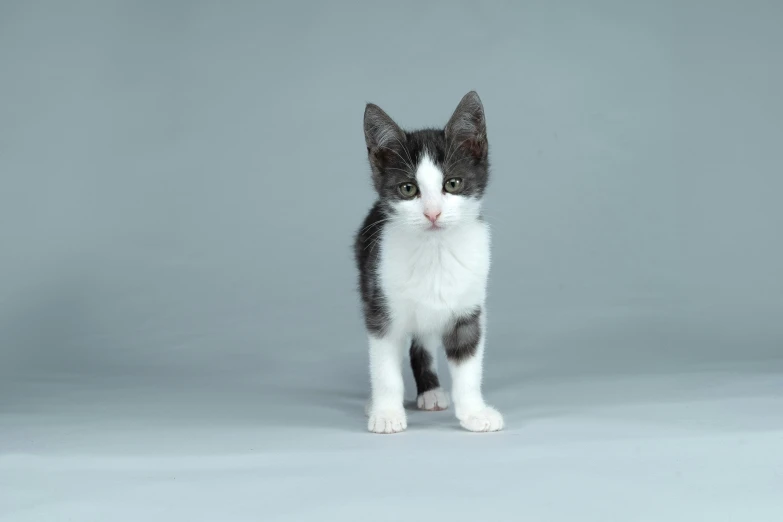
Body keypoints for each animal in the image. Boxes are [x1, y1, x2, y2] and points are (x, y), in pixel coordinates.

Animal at [354, 91, 502, 432]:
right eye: (408, 189)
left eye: (453, 184)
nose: (432, 213)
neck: (434, 251)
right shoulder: (381, 307)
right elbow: (384, 366)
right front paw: (386, 413)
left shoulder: (468, 308)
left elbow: (468, 363)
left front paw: (474, 412)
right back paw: (374, 404)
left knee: (422, 342)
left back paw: (431, 391)